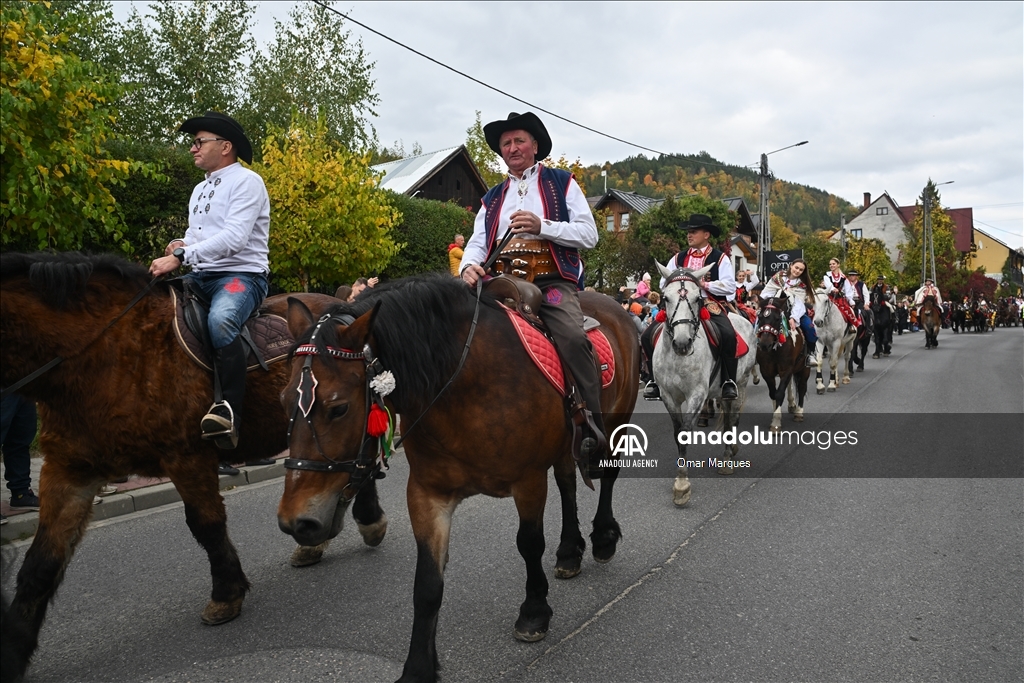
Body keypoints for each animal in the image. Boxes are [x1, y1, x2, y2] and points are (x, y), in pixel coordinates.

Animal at [0, 250, 387, 679]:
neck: (106, 351)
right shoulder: (69, 470)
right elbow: (41, 562)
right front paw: (13, 651)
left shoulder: (186, 455)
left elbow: (206, 525)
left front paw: (226, 594)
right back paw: (316, 539)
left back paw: (364, 522)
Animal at [274, 276, 638, 683]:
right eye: (284, 400)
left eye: (338, 408)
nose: (296, 521)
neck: (462, 385)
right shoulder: (427, 494)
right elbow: (427, 584)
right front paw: (418, 667)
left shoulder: (528, 481)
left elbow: (529, 544)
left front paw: (534, 611)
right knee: (568, 483)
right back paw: (570, 551)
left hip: (616, 419)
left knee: (607, 474)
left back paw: (603, 537)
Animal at [651, 262, 757, 507]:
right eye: (665, 298)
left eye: (697, 298)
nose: (682, 343)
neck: (678, 357)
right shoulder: (668, 396)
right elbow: (677, 431)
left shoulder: (697, 395)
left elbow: (685, 432)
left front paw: (682, 486)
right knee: (727, 418)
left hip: (741, 381)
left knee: (733, 418)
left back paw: (728, 459)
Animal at [753, 294, 806, 432]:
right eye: (760, 317)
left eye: (777, 319)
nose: (764, 345)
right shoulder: (766, 371)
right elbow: (773, 393)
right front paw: (775, 416)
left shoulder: (786, 370)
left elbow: (779, 393)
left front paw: (776, 422)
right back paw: (792, 404)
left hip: (804, 368)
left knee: (802, 387)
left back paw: (799, 412)